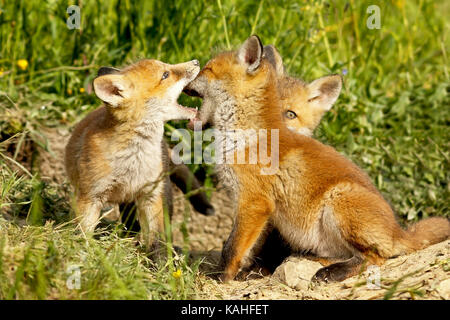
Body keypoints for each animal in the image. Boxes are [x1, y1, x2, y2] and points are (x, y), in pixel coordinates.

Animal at [66, 59, 200, 250]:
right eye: (165, 75)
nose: (196, 61)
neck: (133, 160)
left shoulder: (150, 196)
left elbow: (156, 241)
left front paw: (157, 258)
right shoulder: (90, 196)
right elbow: (82, 232)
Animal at [185, 35, 448, 282]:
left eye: (207, 69)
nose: (185, 78)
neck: (243, 135)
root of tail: (399, 231)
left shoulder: (254, 202)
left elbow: (232, 248)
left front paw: (220, 278)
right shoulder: (257, 210)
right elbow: (247, 247)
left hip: (338, 200)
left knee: (375, 257)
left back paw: (333, 272)